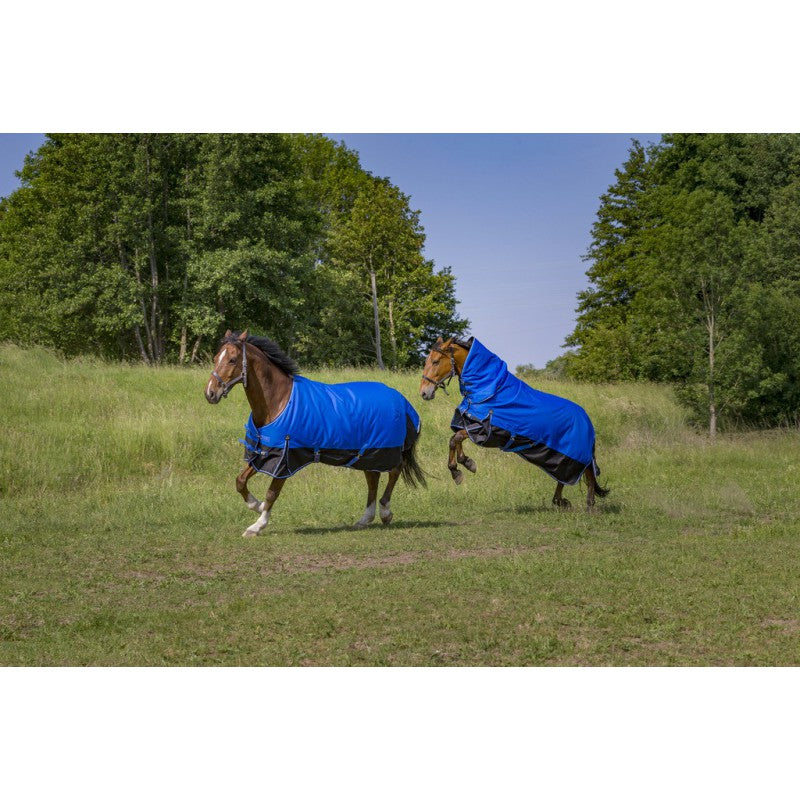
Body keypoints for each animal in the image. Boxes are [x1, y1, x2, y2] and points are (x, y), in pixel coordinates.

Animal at [206, 330, 425, 536]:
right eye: (215, 358)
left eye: (232, 360)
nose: (210, 393)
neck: (279, 402)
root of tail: (402, 401)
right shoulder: (264, 453)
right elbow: (240, 481)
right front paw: (256, 506)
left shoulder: (285, 459)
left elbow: (272, 493)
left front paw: (257, 525)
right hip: (367, 453)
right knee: (372, 478)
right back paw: (365, 519)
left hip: (385, 450)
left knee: (394, 471)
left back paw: (385, 512)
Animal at [419, 336, 609, 511]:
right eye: (427, 361)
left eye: (436, 361)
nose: (423, 393)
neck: (489, 392)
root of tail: (586, 418)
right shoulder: (468, 424)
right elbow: (454, 439)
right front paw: (463, 464)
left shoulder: (485, 431)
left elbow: (456, 438)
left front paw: (461, 468)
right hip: (558, 459)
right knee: (566, 477)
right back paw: (560, 501)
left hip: (575, 454)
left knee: (589, 473)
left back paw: (589, 506)